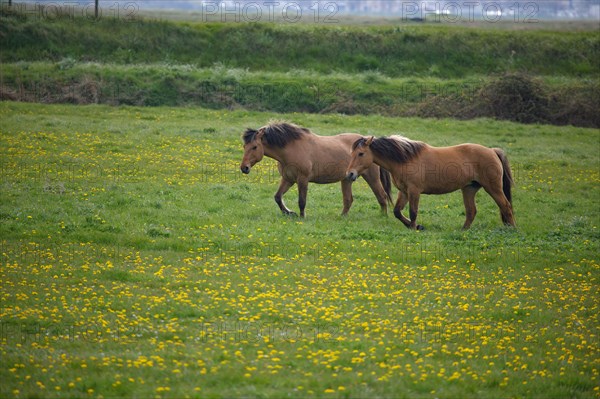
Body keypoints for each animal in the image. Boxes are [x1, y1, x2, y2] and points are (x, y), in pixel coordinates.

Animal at [241, 122, 392, 217]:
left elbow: (302, 201)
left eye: (254, 146)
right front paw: (289, 212)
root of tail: (370, 143)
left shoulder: (302, 179)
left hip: (371, 177)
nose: (244, 168)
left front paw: (301, 217)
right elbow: (278, 197)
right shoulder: (288, 179)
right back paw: (342, 217)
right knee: (348, 200)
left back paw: (383, 216)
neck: (291, 149)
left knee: (382, 196)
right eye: (244, 146)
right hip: (347, 179)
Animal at [346, 136, 516, 231]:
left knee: (506, 206)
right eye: (351, 153)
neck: (405, 159)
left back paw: (512, 230)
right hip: (469, 188)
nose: (350, 174)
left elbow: (413, 212)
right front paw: (417, 227)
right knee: (471, 211)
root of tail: (492, 151)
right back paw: (463, 231)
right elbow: (397, 212)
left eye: (361, 154)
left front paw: (413, 228)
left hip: (493, 187)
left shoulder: (414, 191)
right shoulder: (404, 191)